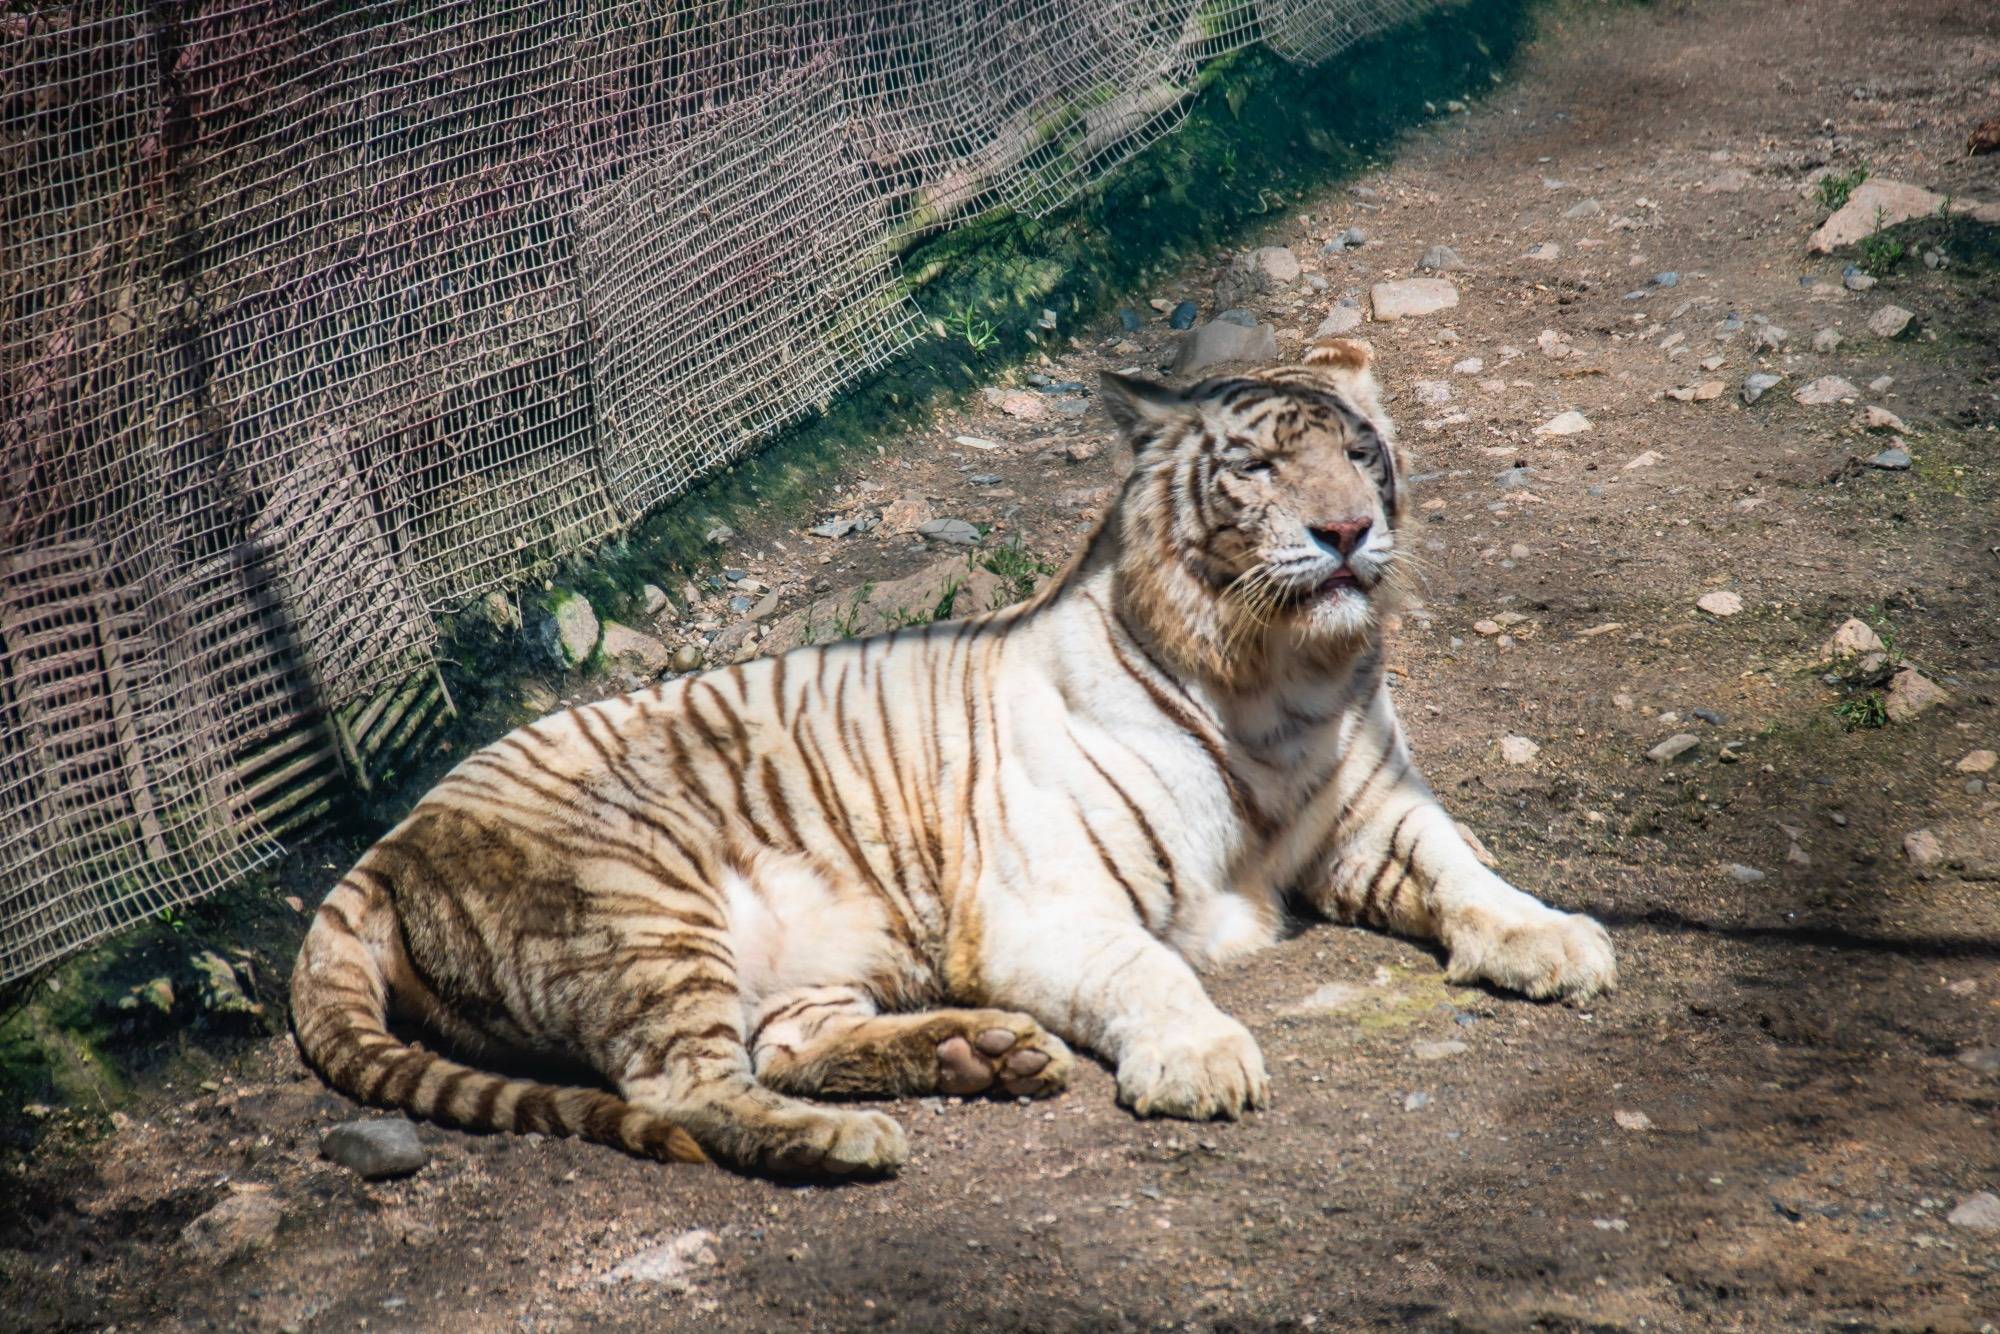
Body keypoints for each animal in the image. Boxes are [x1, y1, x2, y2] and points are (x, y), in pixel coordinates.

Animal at [290, 337, 1616, 1178]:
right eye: (1256, 466)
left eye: (1361, 451)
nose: (1346, 530)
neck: (1278, 681)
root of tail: (384, 843)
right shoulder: (1042, 905)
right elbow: (1148, 967)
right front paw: (1196, 1055)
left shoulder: (1371, 808)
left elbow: (1463, 866)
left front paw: (1553, 937)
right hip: (638, 906)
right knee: (682, 1087)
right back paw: (852, 1142)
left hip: (798, 956)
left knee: (782, 1044)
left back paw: (974, 1051)